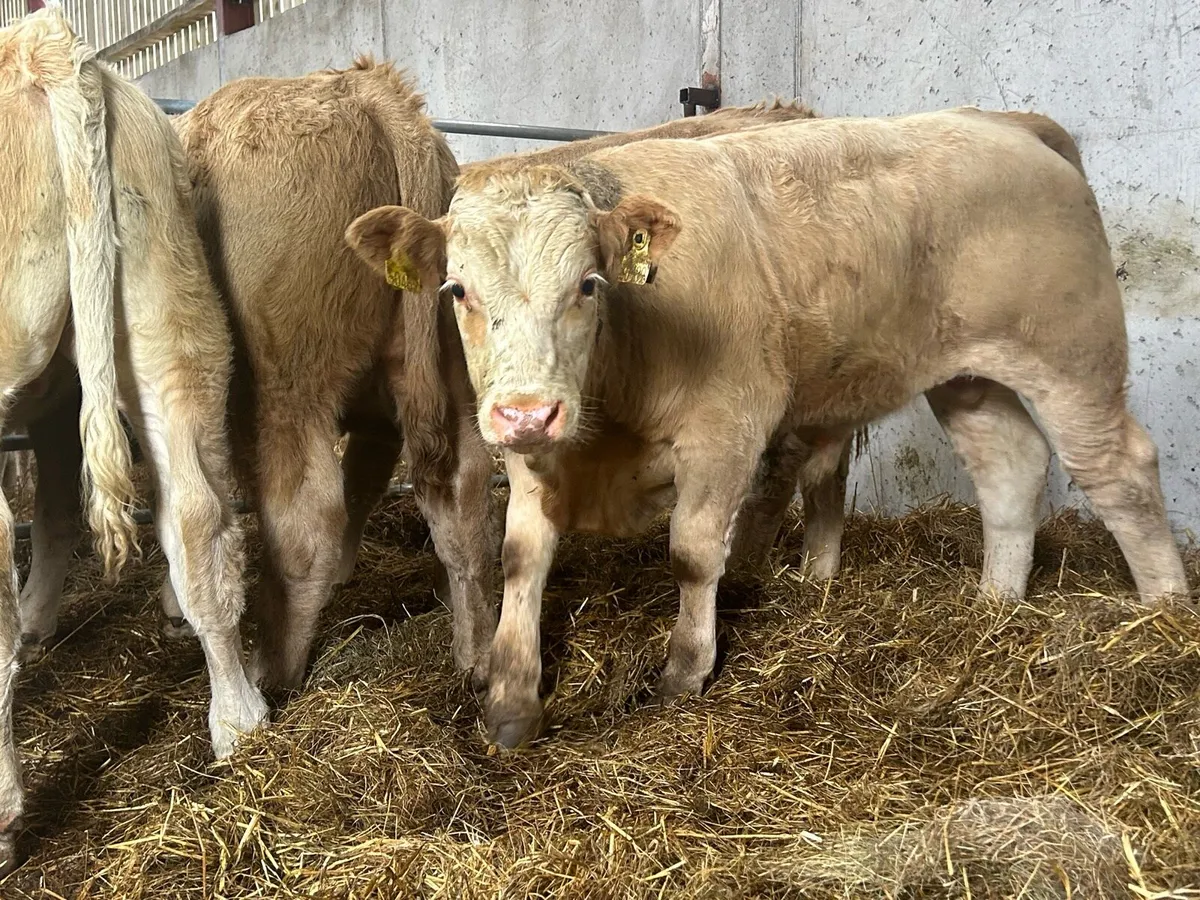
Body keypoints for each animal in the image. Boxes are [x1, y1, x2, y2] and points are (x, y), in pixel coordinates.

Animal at [347, 106, 1190, 749]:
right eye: (458, 289)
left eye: (586, 284)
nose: (527, 413)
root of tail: (1006, 121)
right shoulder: (539, 450)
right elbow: (521, 559)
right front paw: (511, 703)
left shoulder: (726, 427)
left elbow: (692, 554)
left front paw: (684, 672)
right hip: (969, 376)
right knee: (1009, 466)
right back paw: (995, 605)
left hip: (1071, 356)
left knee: (1120, 469)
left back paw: (1165, 614)